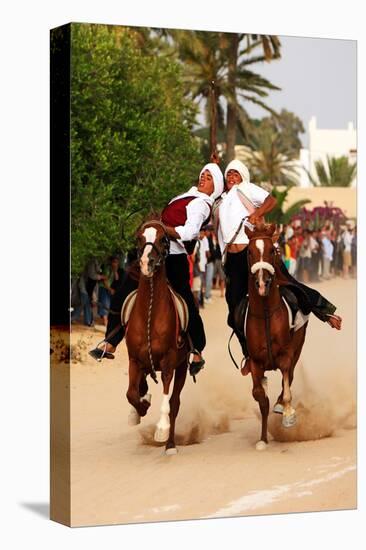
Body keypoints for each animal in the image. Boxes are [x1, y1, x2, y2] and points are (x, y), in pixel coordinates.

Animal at [125, 220, 189, 458]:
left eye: (163, 238)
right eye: (139, 238)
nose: (146, 263)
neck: (149, 315)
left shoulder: (169, 363)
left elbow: (167, 402)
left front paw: (162, 430)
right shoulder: (134, 360)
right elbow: (131, 394)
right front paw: (140, 407)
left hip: (183, 367)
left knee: (175, 403)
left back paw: (170, 444)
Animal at [243, 224, 308, 452]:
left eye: (272, 250)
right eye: (249, 252)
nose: (262, 283)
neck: (265, 314)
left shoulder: (286, 355)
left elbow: (286, 387)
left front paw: (287, 413)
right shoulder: (255, 361)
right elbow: (259, 395)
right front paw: (263, 439)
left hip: (298, 346)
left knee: (290, 377)